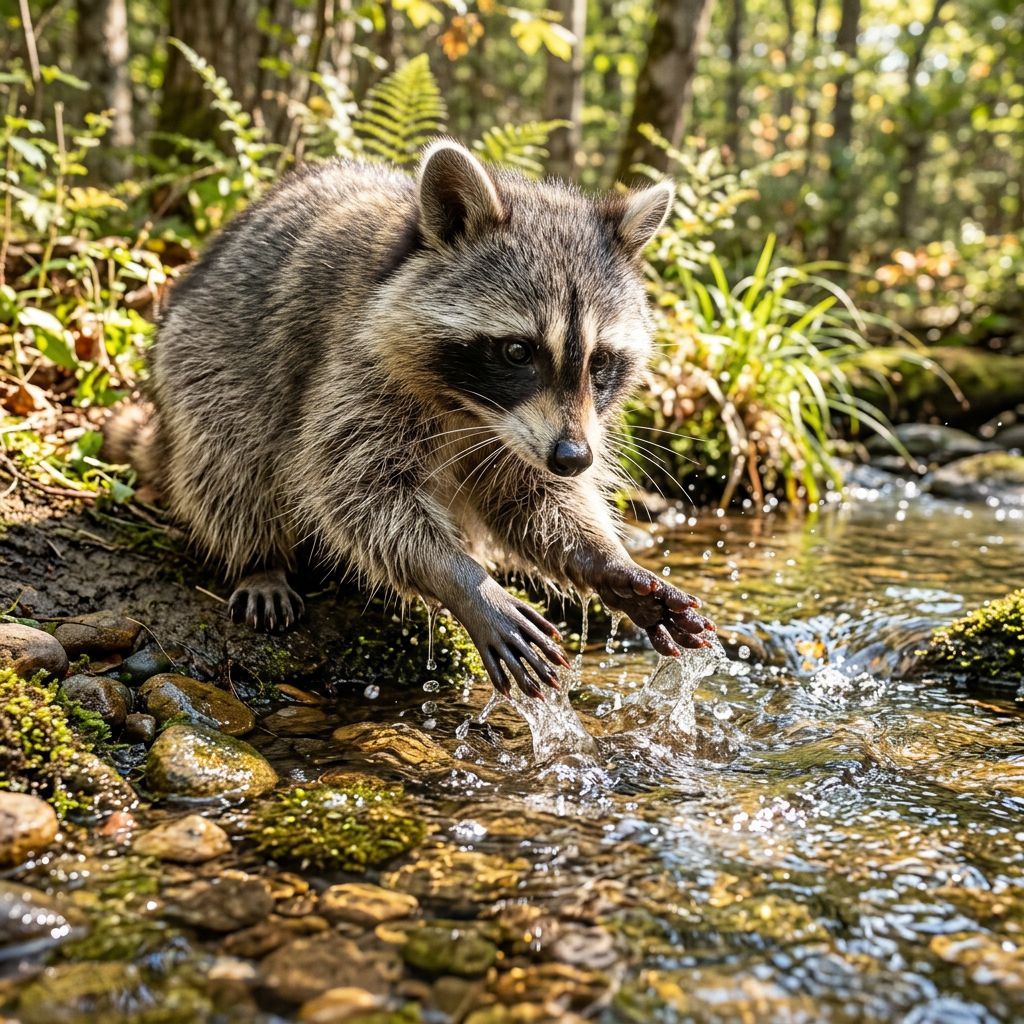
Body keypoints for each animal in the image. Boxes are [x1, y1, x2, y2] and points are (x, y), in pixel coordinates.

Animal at [116, 140, 714, 698]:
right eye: (517, 351)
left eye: (601, 362)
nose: (575, 458)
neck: (473, 408)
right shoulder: (355, 363)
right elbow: (355, 489)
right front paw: (464, 580)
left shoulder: (527, 433)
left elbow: (531, 496)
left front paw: (607, 560)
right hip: (201, 357)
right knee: (229, 451)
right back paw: (257, 557)